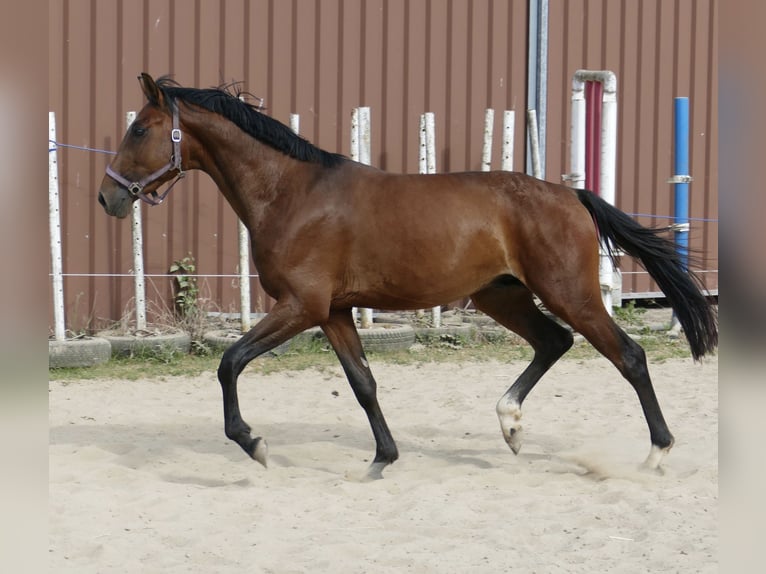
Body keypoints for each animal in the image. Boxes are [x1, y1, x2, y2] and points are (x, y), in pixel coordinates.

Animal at [99, 75, 716, 482]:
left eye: (140, 129)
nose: (108, 197)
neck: (291, 194)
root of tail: (572, 196)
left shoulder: (301, 306)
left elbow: (229, 363)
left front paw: (255, 444)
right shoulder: (332, 312)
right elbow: (363, 384)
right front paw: (381, 460)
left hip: (571, 294)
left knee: (628, 356)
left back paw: (656, 453)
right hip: (502, 296)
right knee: (553, 342)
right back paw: (511, 426)